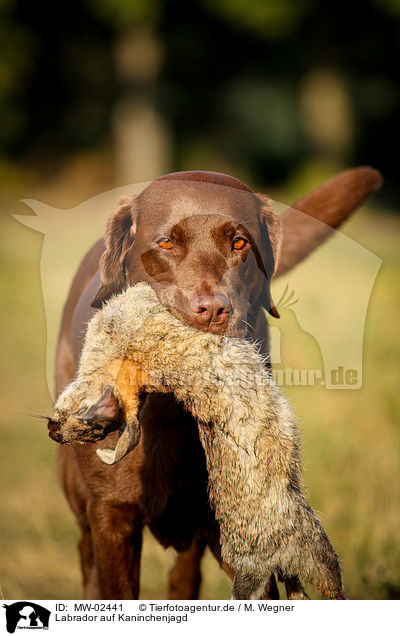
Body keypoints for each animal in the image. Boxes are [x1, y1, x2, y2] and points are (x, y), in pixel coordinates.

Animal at [54, 166, 382, 600]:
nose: (211, 310)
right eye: (166, 242)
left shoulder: (229, 526)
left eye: (239, 242)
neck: (172, 408)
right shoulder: (112, 515)